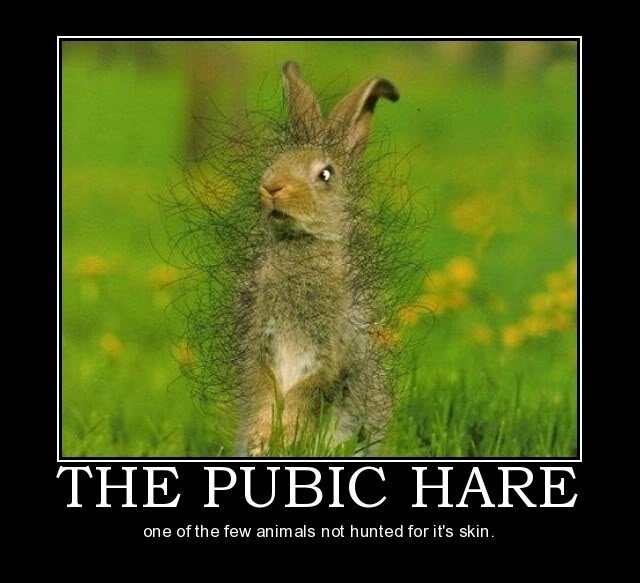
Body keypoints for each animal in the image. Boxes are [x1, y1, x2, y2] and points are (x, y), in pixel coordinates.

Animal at [237, 61, 399, 456]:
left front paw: (287, 434)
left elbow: (308, 391)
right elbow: (264, 387)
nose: (272, 187)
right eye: (275, 161)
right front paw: (262, 438)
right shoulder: (261, 345)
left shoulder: (332, 351)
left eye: (326, 174)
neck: (301, 243)